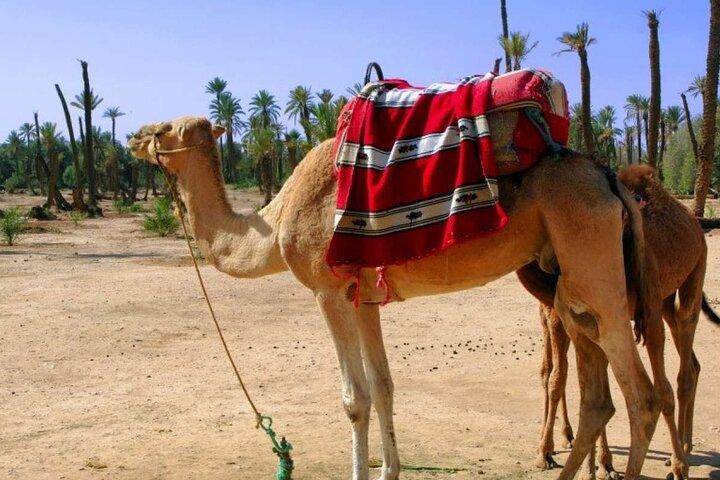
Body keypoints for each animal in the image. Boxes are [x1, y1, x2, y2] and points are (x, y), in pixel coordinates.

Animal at [128, 116, 662, 480]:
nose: (133, 136)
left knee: (642, 395)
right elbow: (384, 386)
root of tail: (609, 180)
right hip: (569, 279)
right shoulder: (363, 298)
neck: (276, 223)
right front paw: (390, 469)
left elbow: (355, 398)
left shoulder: (328, 291)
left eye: (165, 129)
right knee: (599, 393)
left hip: (591, 256)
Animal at [519, 164, 720, 479]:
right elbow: (565, 380)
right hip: (663, 301)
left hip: (692, 276)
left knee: (684, 368)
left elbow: (657, 391)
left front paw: (599, 464)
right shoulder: (573, 317)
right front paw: (588, 464)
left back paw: (680, 457)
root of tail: (694, 221)